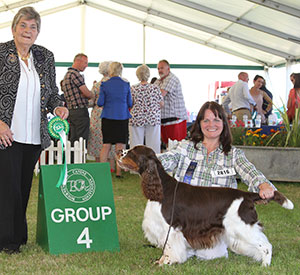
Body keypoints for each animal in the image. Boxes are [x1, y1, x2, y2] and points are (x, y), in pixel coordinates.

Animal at [116, 146, 294, 266]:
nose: (118, 151)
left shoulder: (170, 227)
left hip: (243, 227)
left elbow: (169, 248)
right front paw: (160, 262)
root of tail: (247, 196)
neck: (162, 189)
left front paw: (166, 263)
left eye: (132, 152)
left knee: (266, 245)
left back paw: (265, 265)